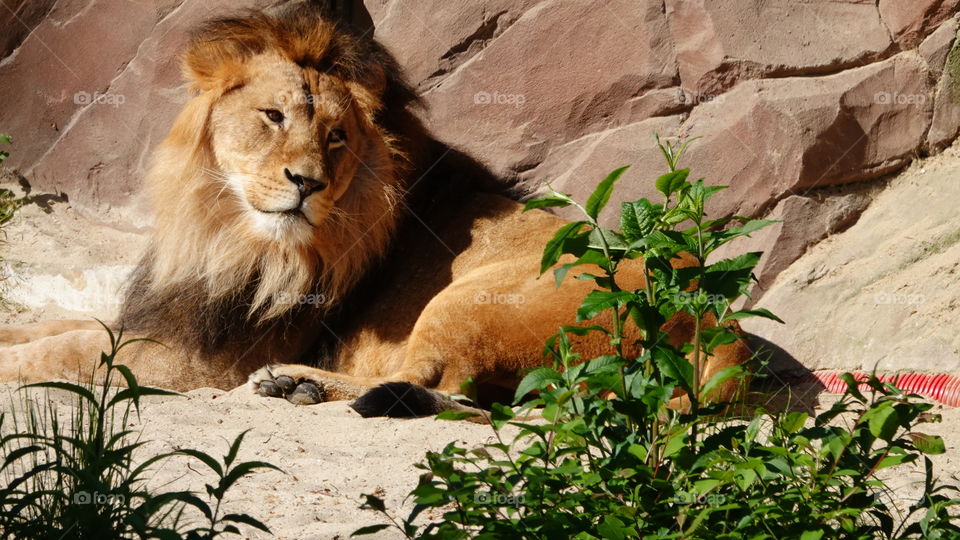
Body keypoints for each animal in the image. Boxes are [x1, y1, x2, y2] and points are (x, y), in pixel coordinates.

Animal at [0, 6, 752, 416]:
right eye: (273, 117)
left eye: (336, 136)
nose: (306, 183)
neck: (224, 229)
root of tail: (719, 326)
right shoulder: (172, 312)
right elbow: (57, 327)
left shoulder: (204, 363)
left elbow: (67, 349)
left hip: (472, 300)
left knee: (435, 387)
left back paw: (295, 383)